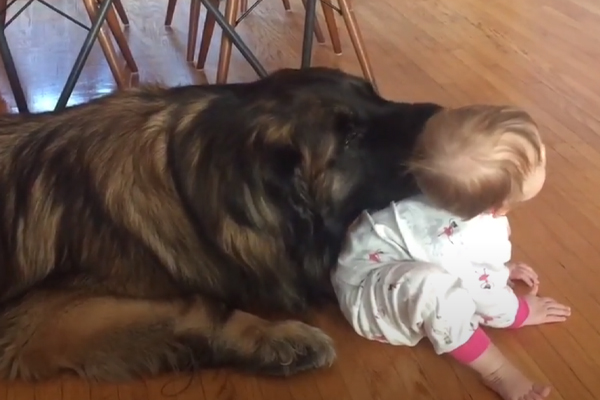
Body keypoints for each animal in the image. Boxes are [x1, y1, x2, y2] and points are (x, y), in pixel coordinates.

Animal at [0, 68, 440, 382]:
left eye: (374, 94)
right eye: (350, 139)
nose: (440, 115)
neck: (187, 190)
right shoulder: (43, 317)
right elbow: (199, 306)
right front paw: (277, 337)